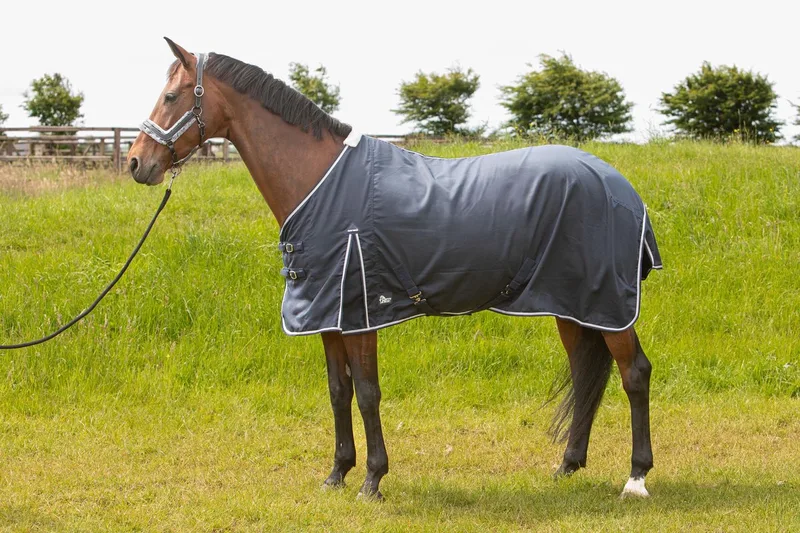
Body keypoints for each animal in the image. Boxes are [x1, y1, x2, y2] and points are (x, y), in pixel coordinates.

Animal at [128, 38, 662, 501]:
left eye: (171, 96)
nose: (136, 163)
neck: (320, 183)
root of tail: (621, 186)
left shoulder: (359, 313)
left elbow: (367, 393)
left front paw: (372, 480)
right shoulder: (328, 315)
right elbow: (338, 391)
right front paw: (337, 473)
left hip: (610, 305)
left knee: (634, 372)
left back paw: (636, 478)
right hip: (571, 306)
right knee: (585, 370)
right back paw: (567, 464)